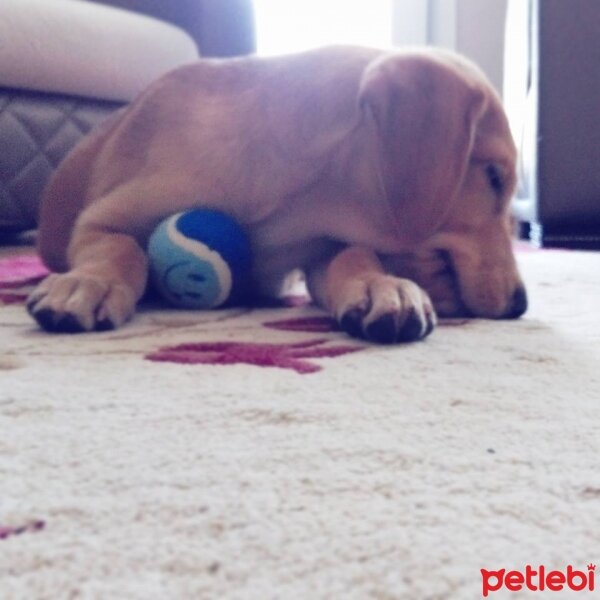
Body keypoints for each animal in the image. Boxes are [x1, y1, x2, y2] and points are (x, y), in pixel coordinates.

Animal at [28, 45, 524, 342]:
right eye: (493, 177)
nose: (522, 304)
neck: (299, 206)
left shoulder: (322, 248)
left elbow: (353, 256)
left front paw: (381, 285)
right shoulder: (99, 220)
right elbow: (120, 249)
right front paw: (87, 283)